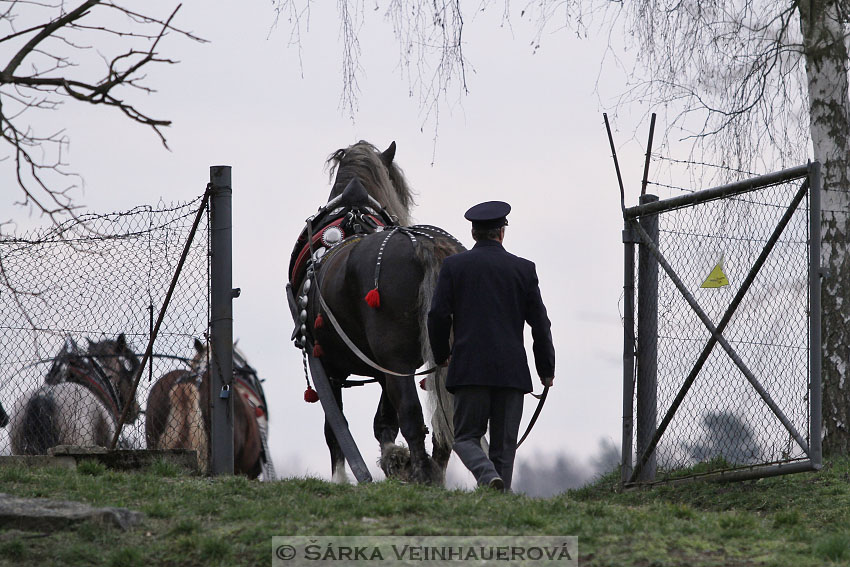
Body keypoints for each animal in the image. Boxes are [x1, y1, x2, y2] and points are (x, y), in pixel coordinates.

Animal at [292, 141, 464, 484]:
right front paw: (393, 460)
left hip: (393, 360)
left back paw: (422, 474)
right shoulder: (384, 368)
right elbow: (384, 422)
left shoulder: (329, 364)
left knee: (411, 414)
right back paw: (434, 472)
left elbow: (336, 427)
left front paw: (342, 480)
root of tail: (424, 245)